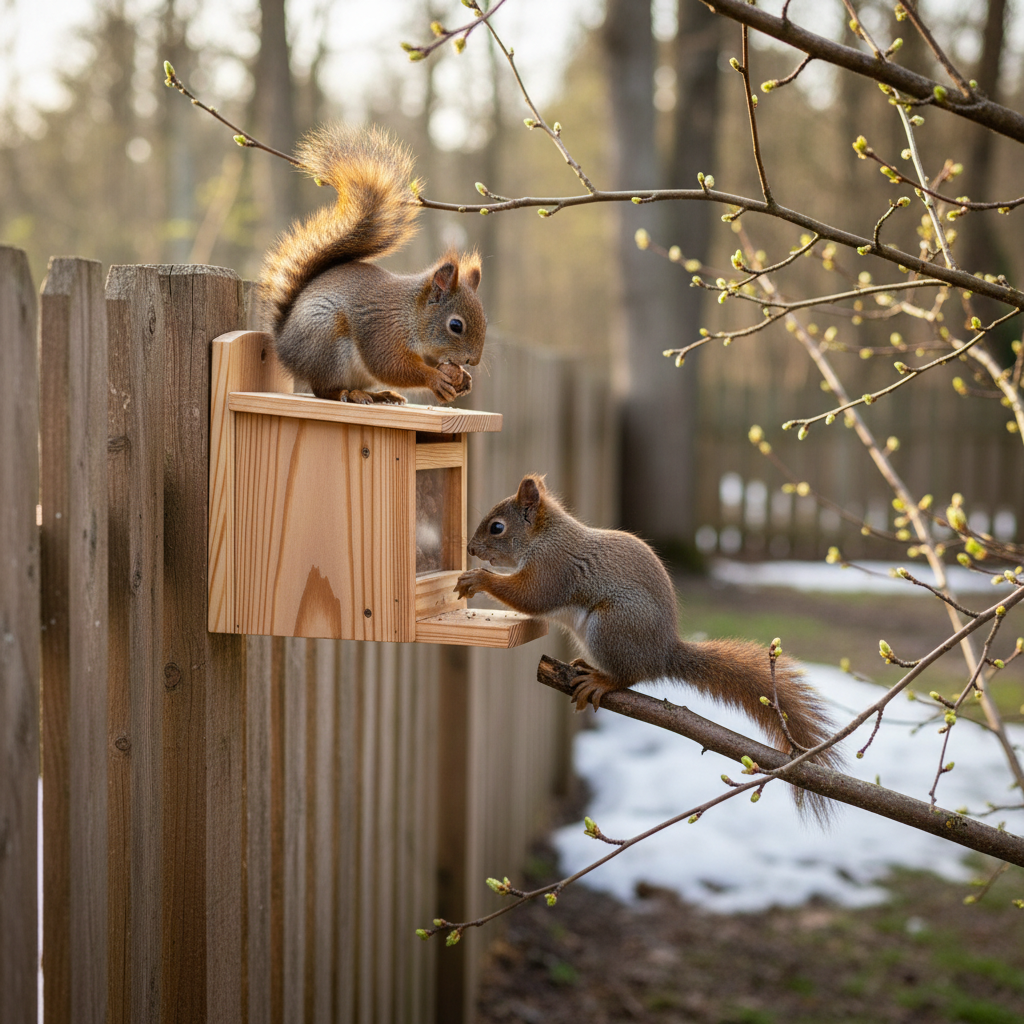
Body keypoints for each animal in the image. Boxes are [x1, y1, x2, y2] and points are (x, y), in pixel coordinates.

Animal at [259, 123, 486, 404]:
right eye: (456, 326)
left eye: (485, 320)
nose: (473, 361)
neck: (411, 314)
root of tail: (284, 346)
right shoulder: (384, 330)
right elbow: (390, 365)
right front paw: (435, 379)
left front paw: (463, 377)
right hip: (327, 345)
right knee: (323, 389)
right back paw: (349, 393)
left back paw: (379, 394)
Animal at [455, 474, 842, 820]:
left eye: (496, 528)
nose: (471, 550)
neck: (544, 537)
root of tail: (663, 654)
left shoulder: (554, 568)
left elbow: (532, 597)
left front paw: (478, 578)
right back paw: (589, 669)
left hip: (611, 627)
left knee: (630, 676)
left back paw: (602, 681)